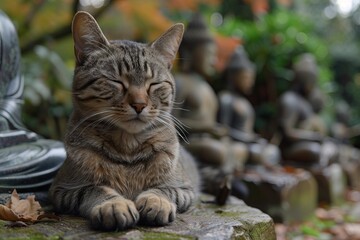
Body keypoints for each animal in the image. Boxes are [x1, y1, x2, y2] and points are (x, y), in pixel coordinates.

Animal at [48, 11, 200, 231]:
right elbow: (95, 189)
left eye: (153, 84)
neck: (128, 149)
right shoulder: (63, 189)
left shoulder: (183, 188)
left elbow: (163, 189)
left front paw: (156, 201)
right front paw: (113, 204)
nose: (139, 104)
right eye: (116, 81)